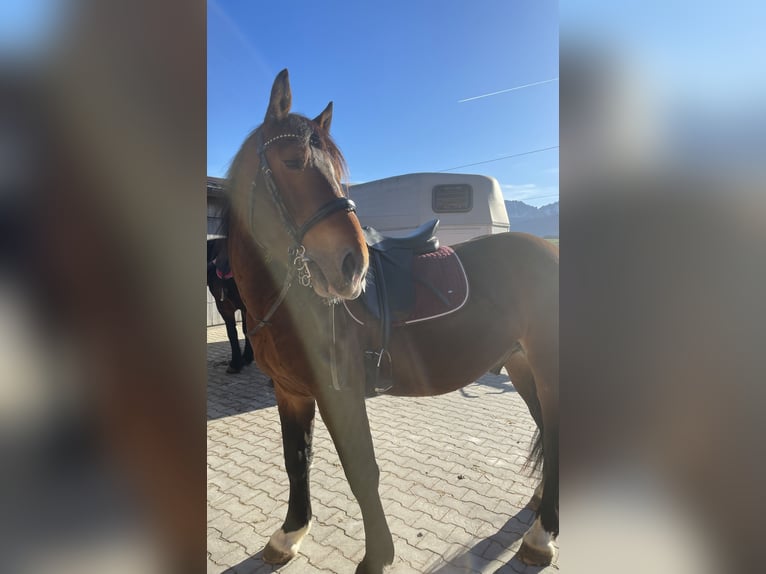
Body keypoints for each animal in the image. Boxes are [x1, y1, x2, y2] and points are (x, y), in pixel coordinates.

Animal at [222, 70, 560, 572]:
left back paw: (542, 535)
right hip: (521, 365)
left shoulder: (338, 393)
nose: (352, 266)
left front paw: (377, 555)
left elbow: (361, 469)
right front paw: (289, 534)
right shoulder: (291, 392)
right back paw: (540, 507)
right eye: (292, 161)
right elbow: (295, 460)